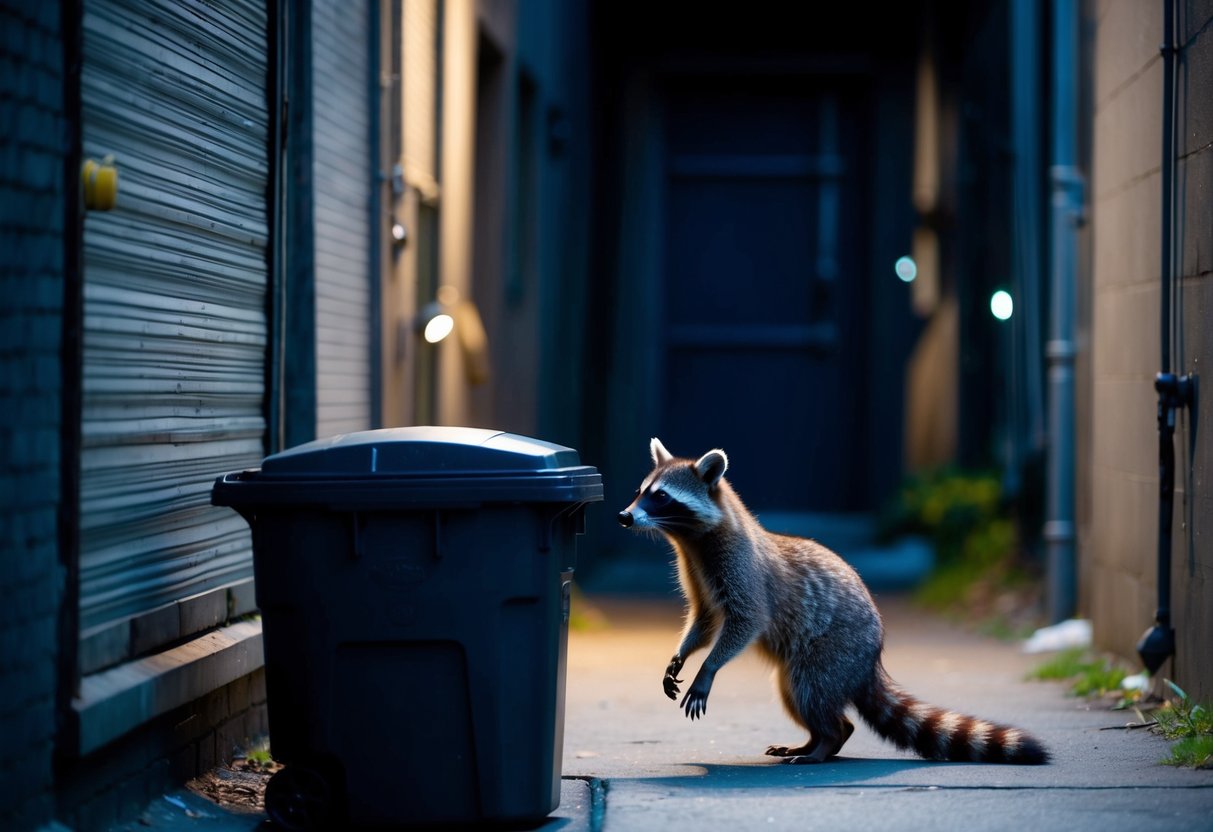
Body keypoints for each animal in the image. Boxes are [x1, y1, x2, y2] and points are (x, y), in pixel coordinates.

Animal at [617, 438, 1048, 765]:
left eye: (661, 497)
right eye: (640, 492)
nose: (624, 516)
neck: (690, 540)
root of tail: (873, 659)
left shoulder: (739, 570)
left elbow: (745, 621)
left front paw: (708, 667)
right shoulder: (699, 575)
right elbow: (705, 621)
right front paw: (684, 653)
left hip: (835, 650)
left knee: (810, 689)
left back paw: (826, 740)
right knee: (793, 692)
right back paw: (814, 738)